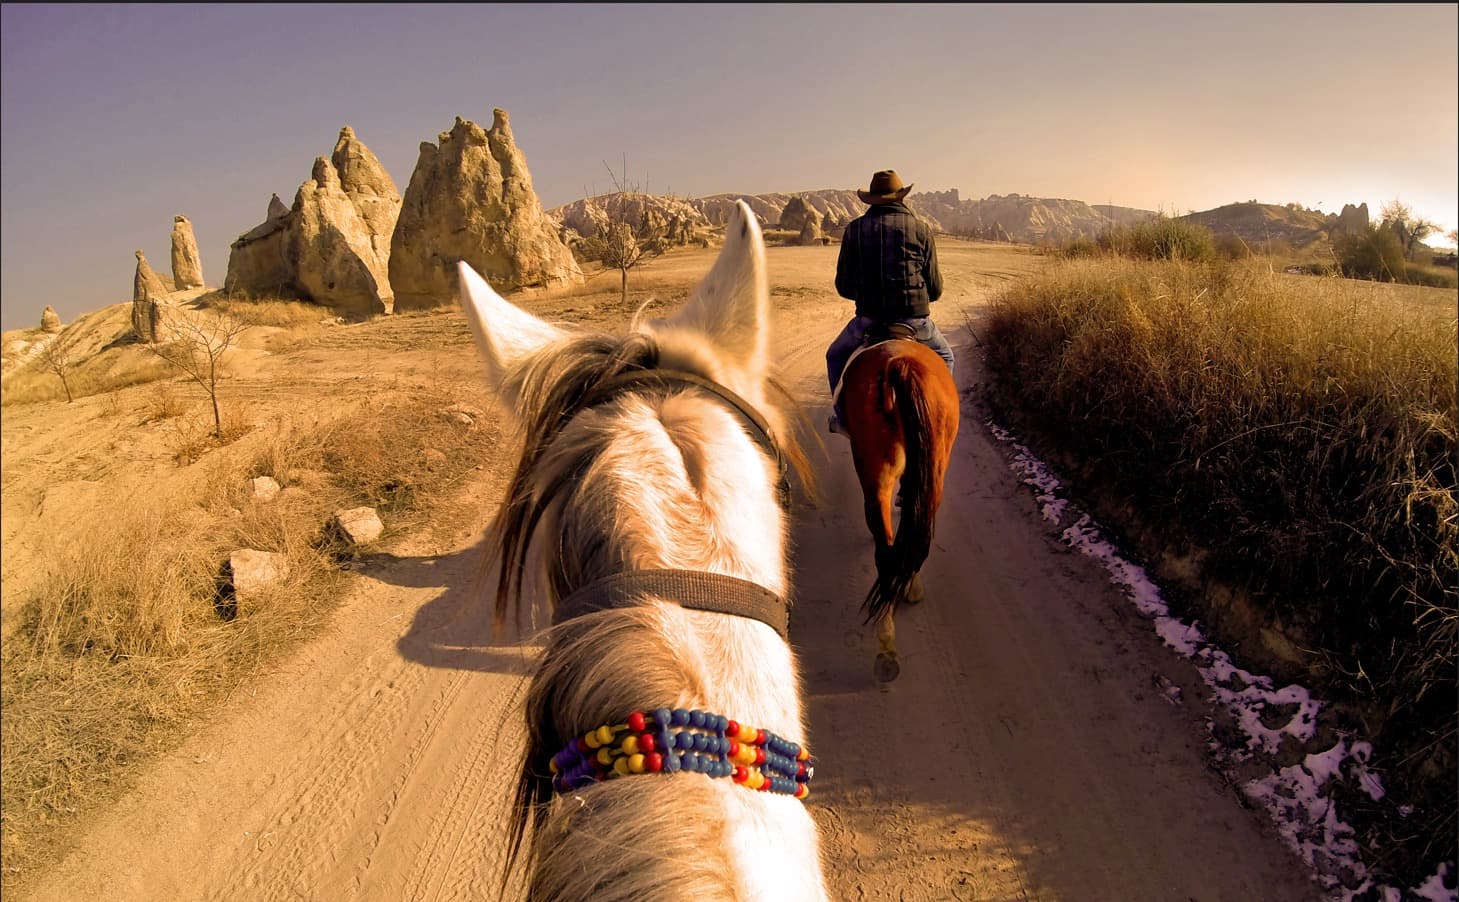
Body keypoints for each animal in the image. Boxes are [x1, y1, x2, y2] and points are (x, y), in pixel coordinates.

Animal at [834, 323, 960, 683]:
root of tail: (898, 364)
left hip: (876, 471)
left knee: (887, 547)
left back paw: (887, 645)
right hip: (933, 465)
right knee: (916, 531)